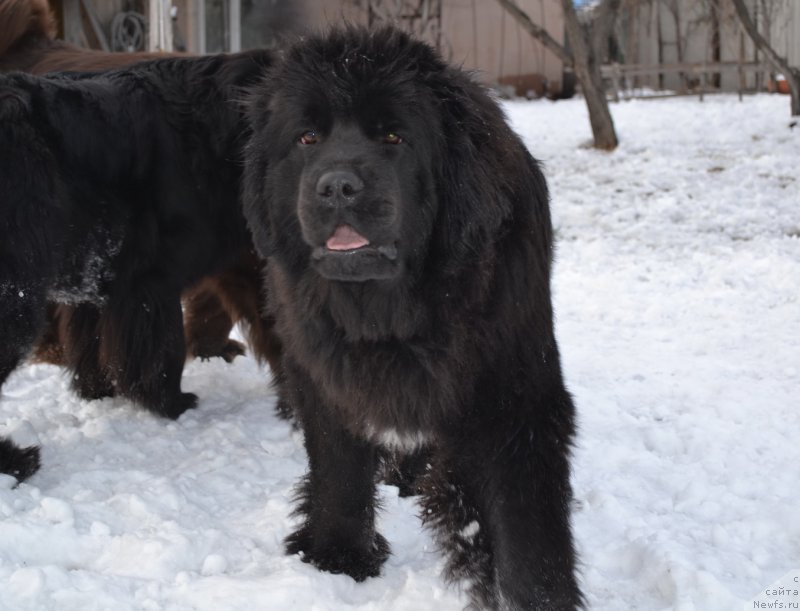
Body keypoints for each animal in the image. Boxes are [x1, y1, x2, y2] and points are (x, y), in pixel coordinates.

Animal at [0, 51, 272, 478]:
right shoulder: (151, 281)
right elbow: (163, 349)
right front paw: (171, 403)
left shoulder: (100, 283)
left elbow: (93, 344)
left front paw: (99, 392)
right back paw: (15, 461)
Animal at [244, 27, 580, 608]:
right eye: (307, 138)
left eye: (394, 137)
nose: (337, 186)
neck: (392, 312)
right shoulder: (326, 371)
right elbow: (337, 467)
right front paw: (338, 556)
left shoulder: (516, 385)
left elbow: (526, 518)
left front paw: (537, 596)